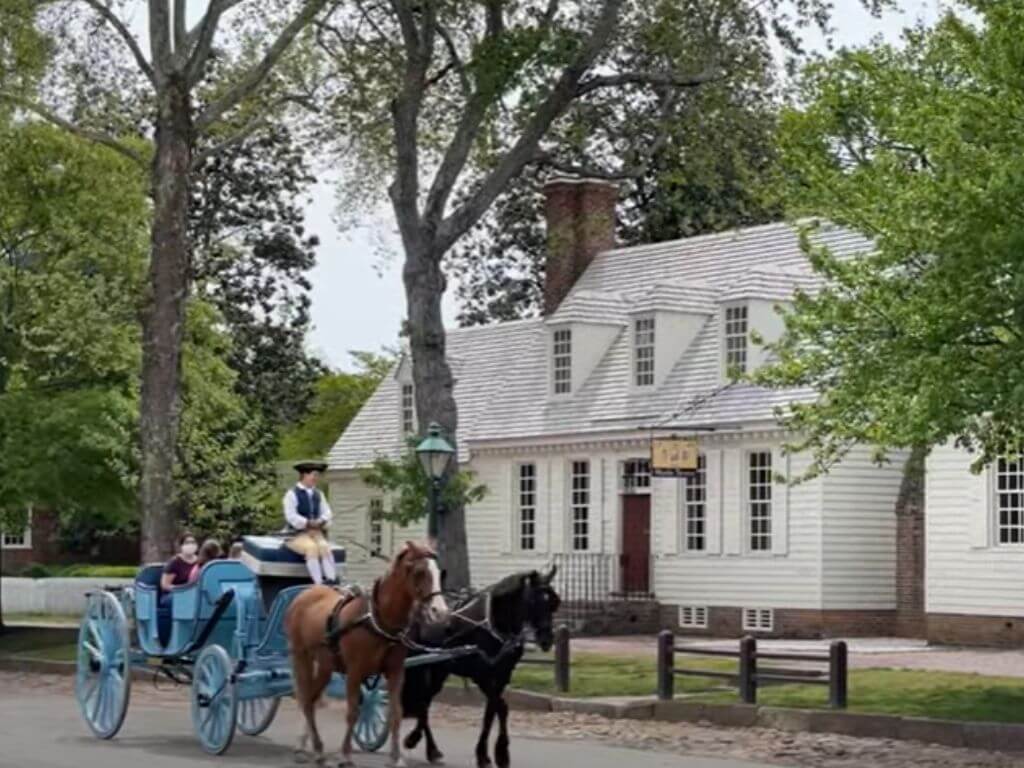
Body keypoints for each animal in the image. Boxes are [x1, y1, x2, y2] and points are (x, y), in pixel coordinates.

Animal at [286, 544, 450, 765]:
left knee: (310, 700)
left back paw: (312, 747)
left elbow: (396, 713)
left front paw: (396, 758)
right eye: (419, 571)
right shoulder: (354, 672)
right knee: (305, 700)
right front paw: (346, 755)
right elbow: (353, 712)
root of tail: (305, 594)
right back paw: (312, 747)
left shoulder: (396, 672)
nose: (440, 612)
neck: (377, 620)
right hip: (301, 656)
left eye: (439, 572)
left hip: (325, 665)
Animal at [401, 565, 565, 768]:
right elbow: (501, 707)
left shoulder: (502, 676)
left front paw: (487, 754)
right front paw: (499, 753)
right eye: (534, 601)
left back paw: (428, 747)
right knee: (422, 701)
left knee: (425, 701)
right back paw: (423, 744)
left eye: (554, 603)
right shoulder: (482, 676)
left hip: (439, 669)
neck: (493, 623)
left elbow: (491, 712)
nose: (546, 640)